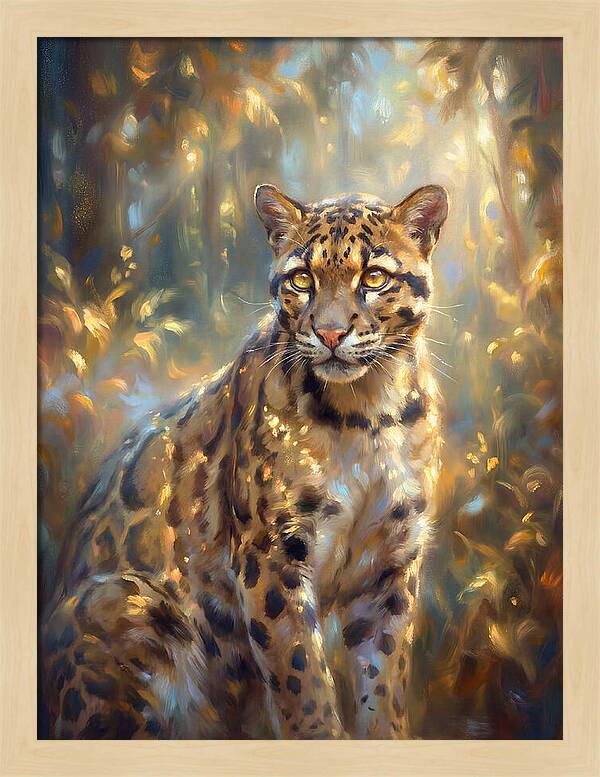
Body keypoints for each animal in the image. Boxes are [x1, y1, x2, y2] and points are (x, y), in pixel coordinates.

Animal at [42, 182, 448, 739]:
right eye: (302, 279)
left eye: (373, 277)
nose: (330, 334)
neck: (368, 414)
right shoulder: (271, 554)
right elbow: (302, 681)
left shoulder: (390, 562)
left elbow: (383, 681)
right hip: (128, 602)